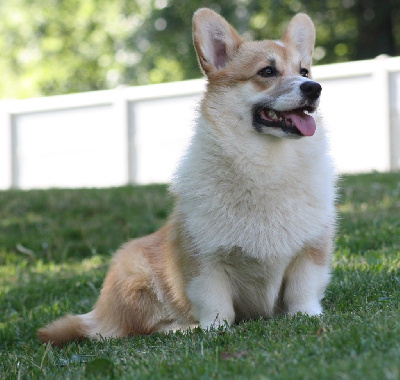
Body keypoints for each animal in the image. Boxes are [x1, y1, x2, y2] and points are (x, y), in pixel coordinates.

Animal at [39, 7, 336, 346]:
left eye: (305, 71)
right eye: (267, 71)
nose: (314, 88)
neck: (269, 164)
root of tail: (97, 315)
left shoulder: (310, 251)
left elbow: (303, 294)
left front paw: (308, 317)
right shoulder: (204, 261)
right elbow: (217, 307)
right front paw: (213, 330)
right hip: (134, 274)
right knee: (138, 329)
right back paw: (182, 328)